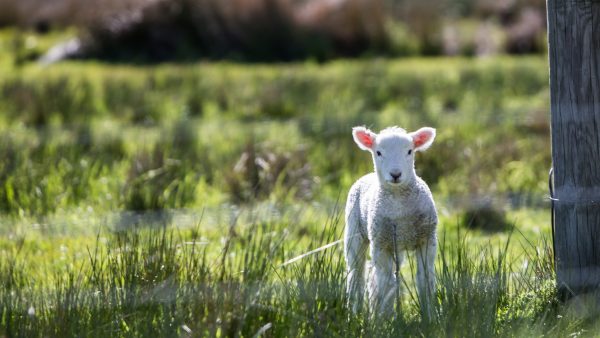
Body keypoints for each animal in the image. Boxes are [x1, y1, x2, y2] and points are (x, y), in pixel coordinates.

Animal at [344, 125, 438, 316]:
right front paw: (383, 318)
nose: (395, 174)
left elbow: (425, 280)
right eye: (378, 152)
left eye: (409, 151)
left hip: (396, 245)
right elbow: (386, 285)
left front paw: (430, 316)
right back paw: (354, 312)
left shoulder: (427, 239)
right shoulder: (381, 244)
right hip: (355, 233)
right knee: (357, 275)